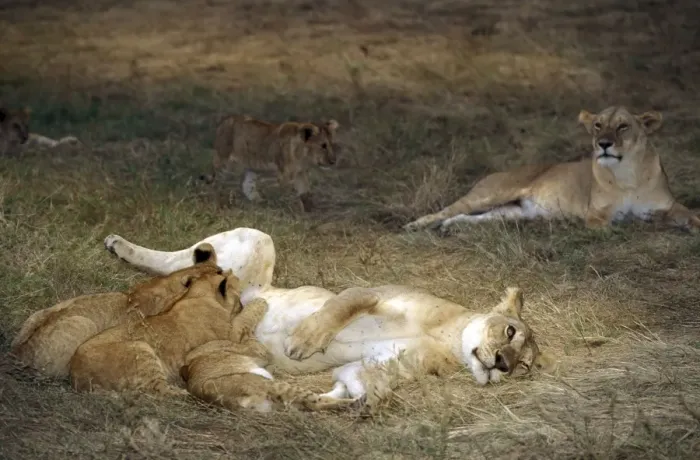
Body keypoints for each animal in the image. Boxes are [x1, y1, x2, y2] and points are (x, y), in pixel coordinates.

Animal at [103, 228, 555, 405]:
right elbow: (341, 305)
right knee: (177, 260)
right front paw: (302, 341)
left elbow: (366, 378)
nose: (503, 365)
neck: (448, 340)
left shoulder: (390, 361)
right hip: (256, 240)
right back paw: (119, 246)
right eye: (510, 331)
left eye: (525, 366)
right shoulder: (376, 292)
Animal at [200, 115, 340, 212]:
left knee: (247, 185)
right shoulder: (286, 174)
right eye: (323, 146)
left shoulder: (300, 172)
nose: (333, 161)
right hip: (224, 161)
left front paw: (310, 209)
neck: (303, 155)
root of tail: (224, 122)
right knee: (215, 181)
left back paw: (260, 202)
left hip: (251, 167)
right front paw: (294, 210)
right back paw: (215, 201)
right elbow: (290, 193)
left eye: (331, 144)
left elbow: (305, 191)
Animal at [403, 106, 700, 233]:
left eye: (623, 126)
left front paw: (689, 224)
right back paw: (416, 224)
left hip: (509, 214)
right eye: (598, 125)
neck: (628, 172)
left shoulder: (669, 204)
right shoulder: (596, 216)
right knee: (447, 209)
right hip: (489, 195)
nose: (602, 144)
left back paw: (448, 227)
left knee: (469, 217)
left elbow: (688, 213)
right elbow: (619, 224)